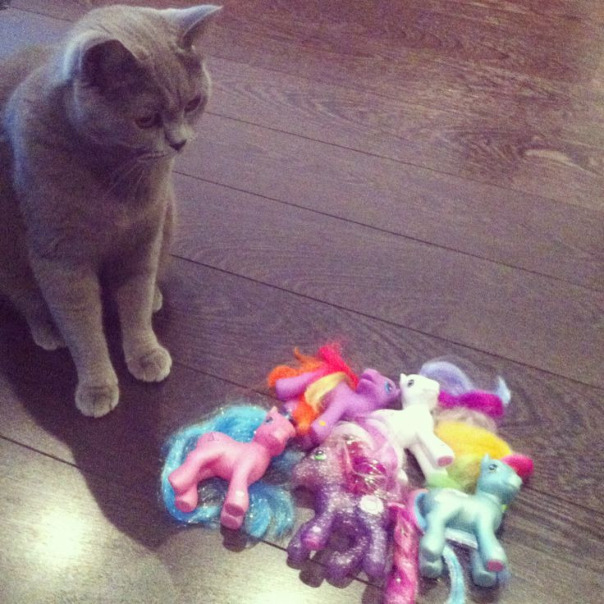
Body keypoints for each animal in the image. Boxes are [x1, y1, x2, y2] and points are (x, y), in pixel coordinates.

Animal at [0, 4, 221, 417]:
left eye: (193, 103)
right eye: (146, 119)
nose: (179, 142)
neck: (114, 174)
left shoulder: (145, 237)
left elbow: (134, 299)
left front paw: (146, 354)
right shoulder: (60, 260)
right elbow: (82, 327)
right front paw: (97, 387)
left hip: (170, 217)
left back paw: (155, 299)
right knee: (30, 303)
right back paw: (48, 331)